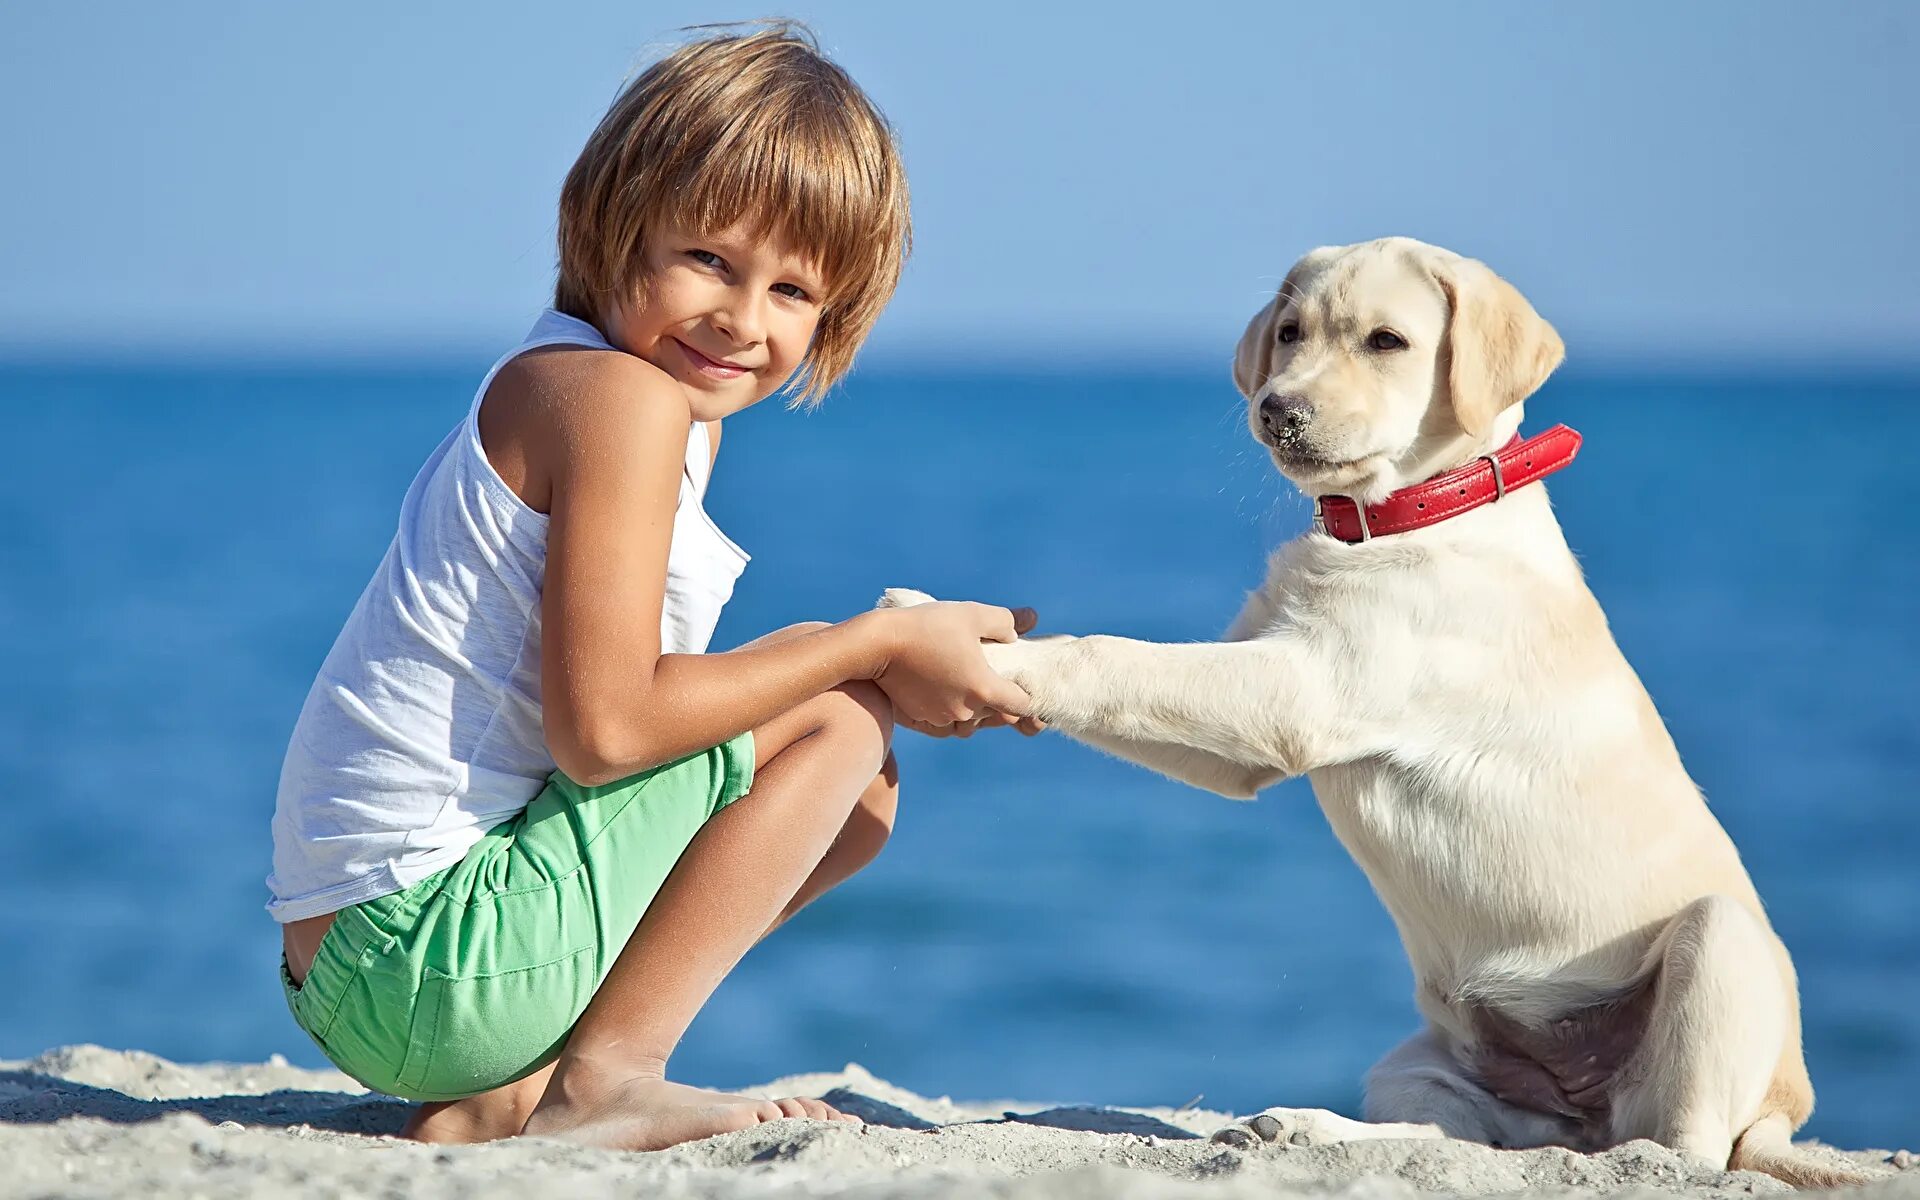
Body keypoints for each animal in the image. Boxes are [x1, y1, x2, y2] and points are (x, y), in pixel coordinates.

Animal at [883, 239, 1889, 1182]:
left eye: (1387, 342)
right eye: (1291, 334)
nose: (1276, 409)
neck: (1408, 513)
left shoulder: (1298, 691)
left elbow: (1115, 656)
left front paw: (983, 655)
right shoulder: (1249, 709)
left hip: (1714, 951)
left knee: (1670, 1147)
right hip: (1423, 1064)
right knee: (1473, 1143)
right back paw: (1308, 1127)